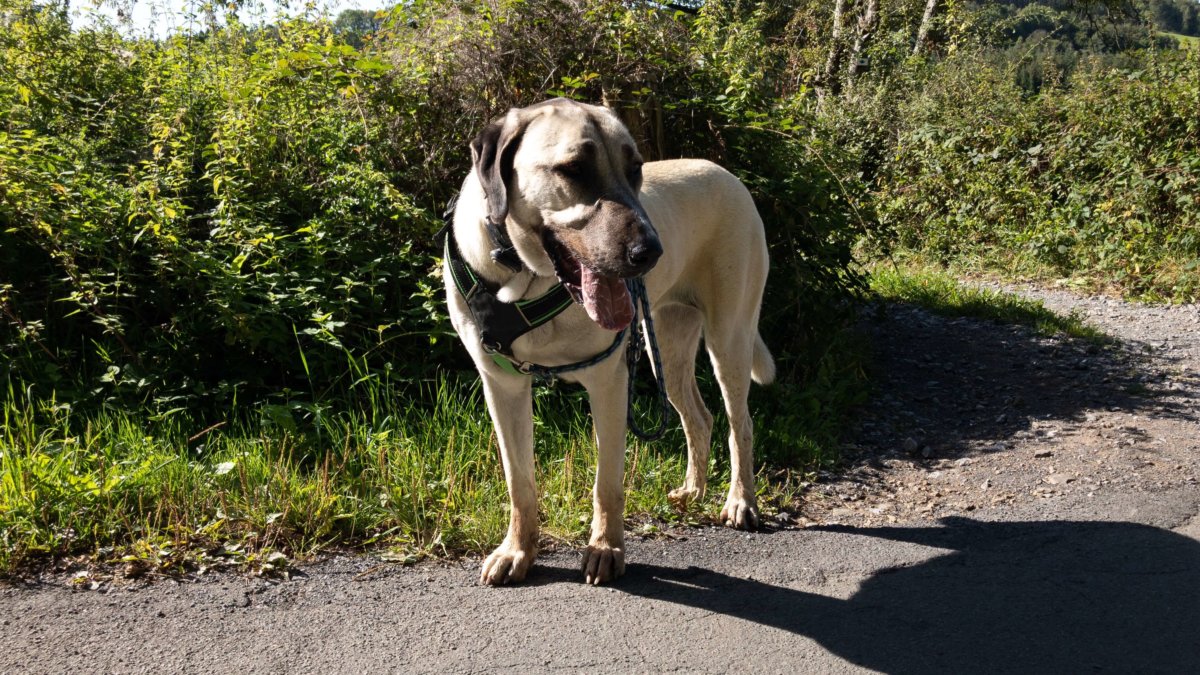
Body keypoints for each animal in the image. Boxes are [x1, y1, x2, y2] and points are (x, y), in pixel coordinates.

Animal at [446, 96, 772, 583]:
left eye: (635, 168)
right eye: (574, 169)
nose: (650, 252)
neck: (524, 280)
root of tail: (727, 175)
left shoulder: (609, 381)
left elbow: (607, 482)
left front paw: (605, 549)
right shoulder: (502, 387)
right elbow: (519, 481)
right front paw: (517, 550)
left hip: (728, 338)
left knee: (740, 423)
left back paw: (740, 501)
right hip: (666, 348)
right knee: (699, 417)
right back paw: (693, 490)